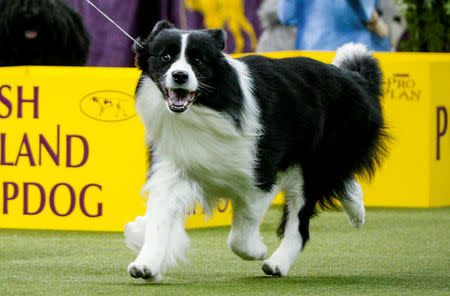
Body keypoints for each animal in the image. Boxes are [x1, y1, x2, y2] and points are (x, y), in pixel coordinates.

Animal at [123, 21, 386, 282]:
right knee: (342, 181)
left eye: (198, 60)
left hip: (315, 161)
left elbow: (240, 234)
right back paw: (357, 212)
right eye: (165, 57)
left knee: (301, 221)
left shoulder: (260, 174)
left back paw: (277, 263)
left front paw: (257, 250)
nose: (179, 75)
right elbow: (159, 219)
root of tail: (354, 79)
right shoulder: (172, 166)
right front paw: (146, 264)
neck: (204, 109)